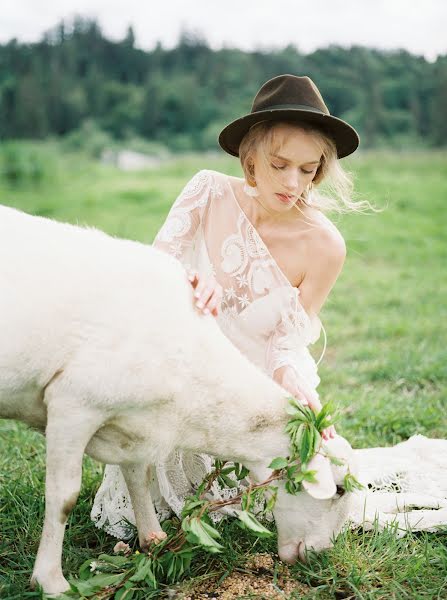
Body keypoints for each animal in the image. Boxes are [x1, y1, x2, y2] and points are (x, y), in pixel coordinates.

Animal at [0, 206, 356, 596]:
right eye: (338, 489)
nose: (319, 555)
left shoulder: (133, 424)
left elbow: (138, 476)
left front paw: (152, 540)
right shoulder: (73, 403)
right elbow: (63, 497)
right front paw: (50, 581)